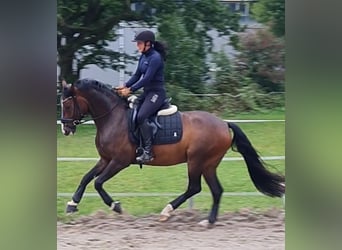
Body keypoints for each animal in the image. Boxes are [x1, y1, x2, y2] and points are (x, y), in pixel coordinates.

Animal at [60, 78, 284, 225]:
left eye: (68, 104)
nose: (65, 129)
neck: (113, 118)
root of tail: (223, 123)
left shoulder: (119, 161)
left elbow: (98, 183)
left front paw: (116, 206)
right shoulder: (105, 159)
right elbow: (86, 178)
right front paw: (72, 204)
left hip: (196, 161)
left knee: (194, 187)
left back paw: (167, 211)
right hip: (209, 164)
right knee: (216, 190)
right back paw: (209, 221)